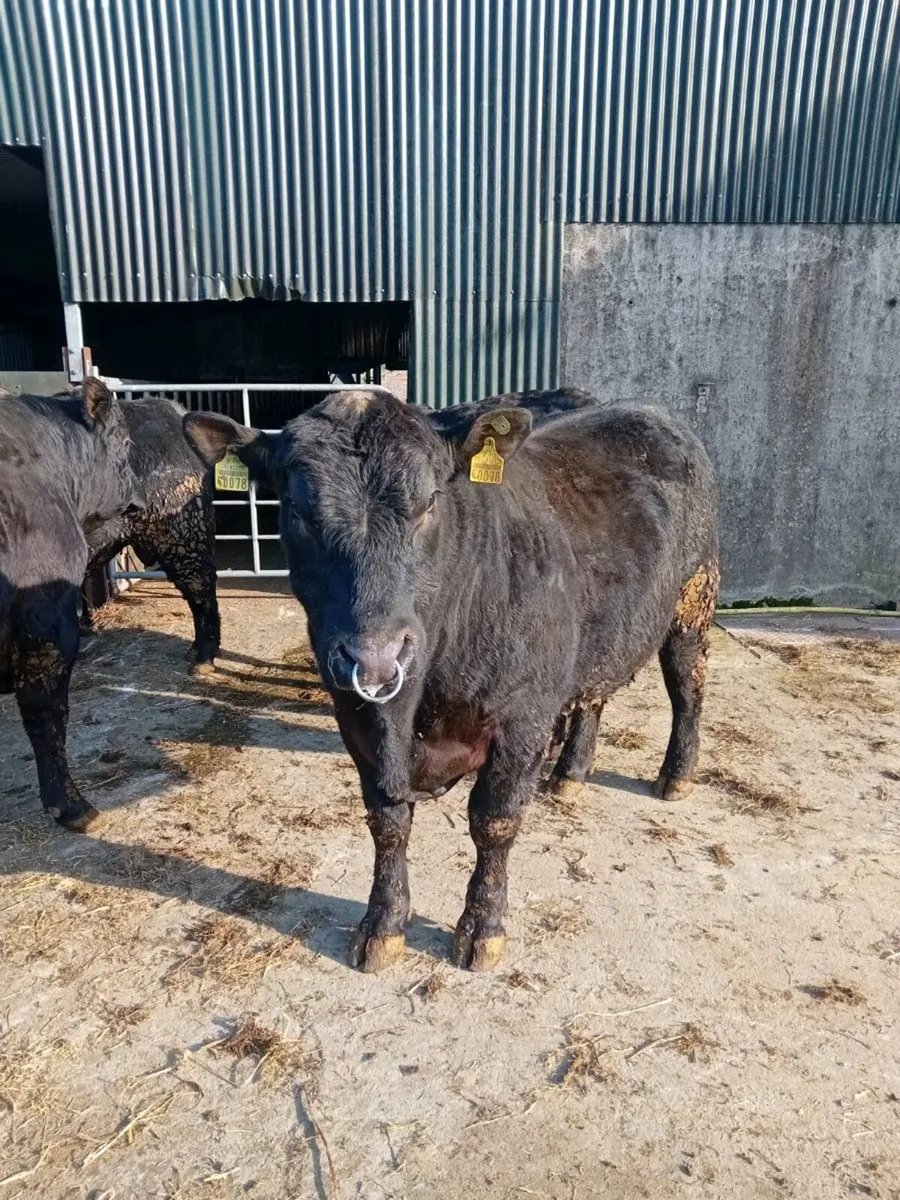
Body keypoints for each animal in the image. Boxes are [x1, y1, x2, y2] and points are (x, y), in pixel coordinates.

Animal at [183, 388, 719, 972]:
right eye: (298, 510)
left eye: (430, 502)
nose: (376, 656)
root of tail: (648, 411)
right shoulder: (358, 724)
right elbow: (387, 824)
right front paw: (383, 924)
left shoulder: (522, 719)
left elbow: (493, 822)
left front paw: (483, 927)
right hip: (599, 635)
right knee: (593, 696)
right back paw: (571, 774)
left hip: (694, 600)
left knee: (687, 689)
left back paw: (676, 775)